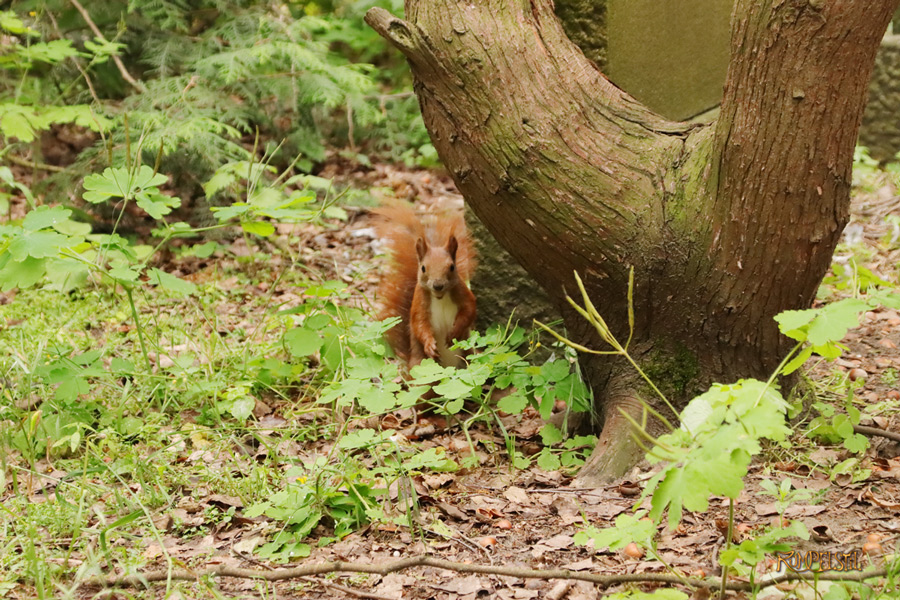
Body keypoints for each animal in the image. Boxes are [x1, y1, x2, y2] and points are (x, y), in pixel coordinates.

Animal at [371, 201, 477, 370]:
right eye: (423, 268)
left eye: (452, 267)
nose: (438, 285)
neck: (440, 298)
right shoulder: (419, 301)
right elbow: (419, 324)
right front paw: (429, 345)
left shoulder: (462, 292)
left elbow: (469, 310)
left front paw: (455, 332)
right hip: (420, 362)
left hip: (469, 356)